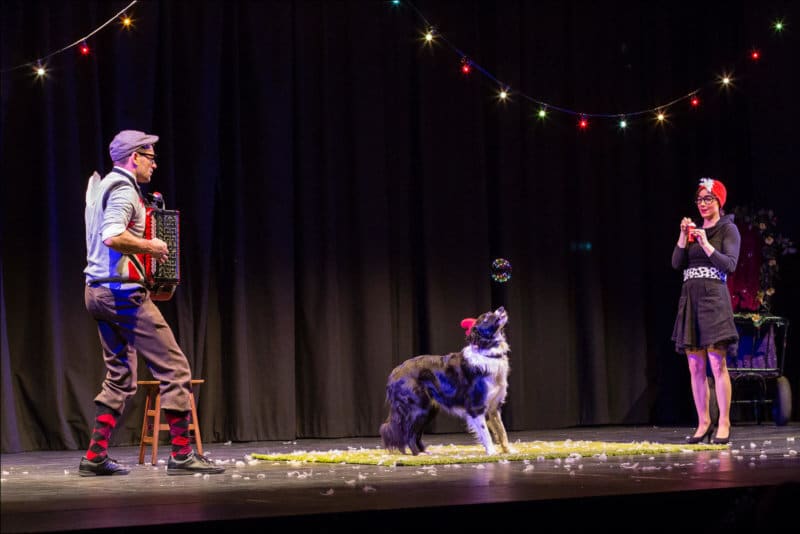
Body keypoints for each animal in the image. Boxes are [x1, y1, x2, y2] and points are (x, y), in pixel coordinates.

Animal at [382, 310, 512, 456]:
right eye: (486, 317)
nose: (501, 308)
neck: (487, 353)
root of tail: (394, 373)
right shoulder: (476, 407)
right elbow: (486, 433)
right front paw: (492, 452)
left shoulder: (494, 407)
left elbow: (502, 431)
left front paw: (509, 451)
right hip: (418, 408)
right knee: (409, 434)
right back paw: (418, 454)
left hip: (429, 410)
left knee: (417, 434)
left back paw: (426, 452)